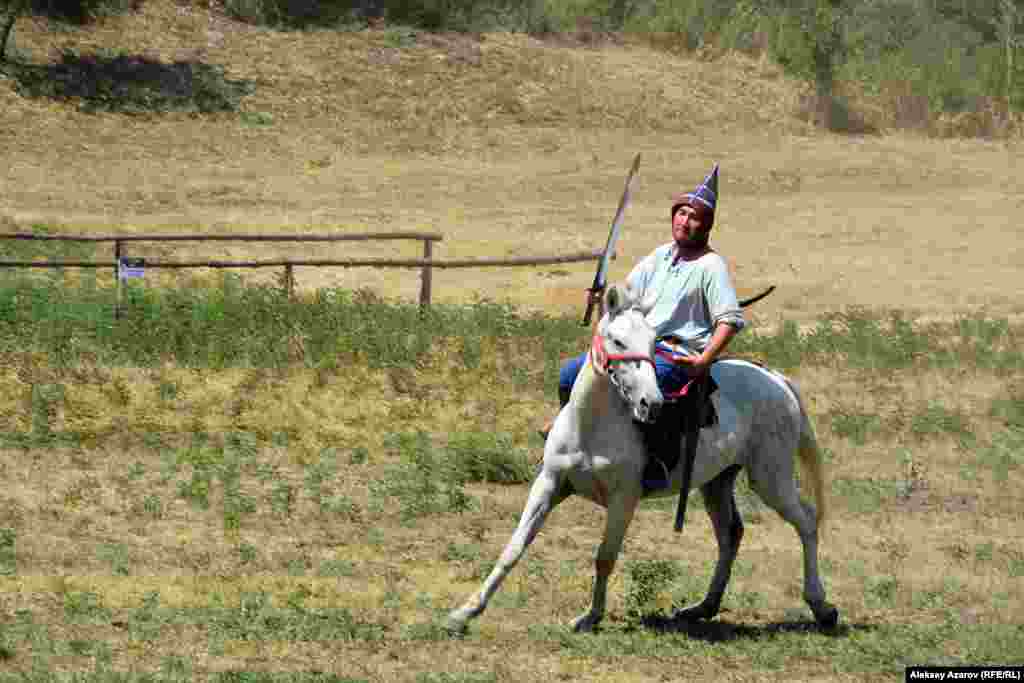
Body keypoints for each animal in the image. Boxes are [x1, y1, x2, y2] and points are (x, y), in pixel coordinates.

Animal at [448, 282, 839, 634]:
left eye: (653, 343)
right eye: (618, 341)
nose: (651, 403)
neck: (591, 425)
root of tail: (777, 379)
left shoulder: (624, 498)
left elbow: (605, 557)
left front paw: (590, 617)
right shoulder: (550, 483)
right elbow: (514, 546)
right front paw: (465, 612)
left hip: (771, 477)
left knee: (806, 521)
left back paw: (821, 606)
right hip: (717, 481)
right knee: (730, 533)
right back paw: (703, 607)